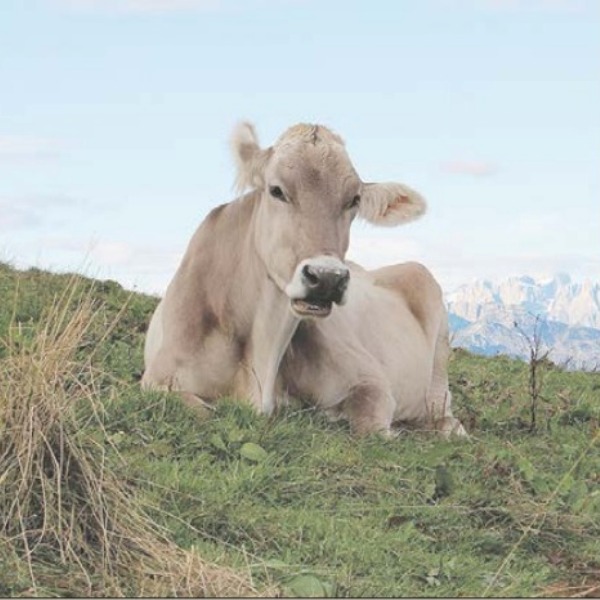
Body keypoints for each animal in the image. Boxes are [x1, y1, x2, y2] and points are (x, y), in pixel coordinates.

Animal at [143, 122, 466, 436]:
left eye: (354, 199)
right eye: (276, 190)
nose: (327, 278)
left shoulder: (371, 379)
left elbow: (370, 425)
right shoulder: (158, 378)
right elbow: (199, 409)